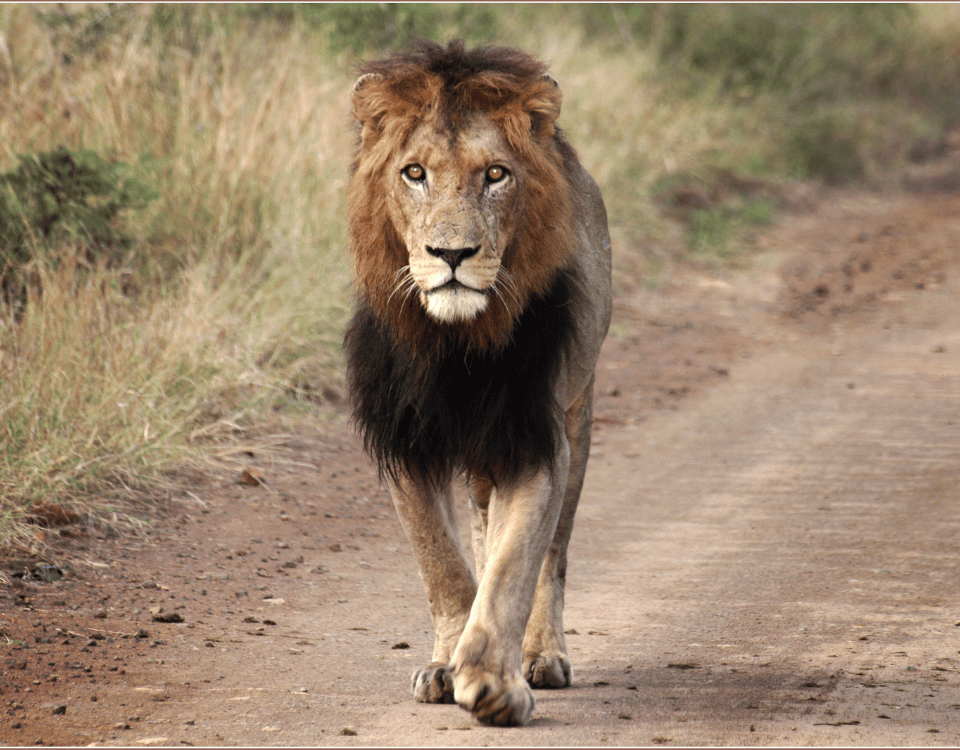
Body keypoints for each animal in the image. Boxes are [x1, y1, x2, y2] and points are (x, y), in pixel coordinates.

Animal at [343, 41, 612, 726]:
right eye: (414, 173)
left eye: (495, 175)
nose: (452, 255)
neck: (455, 344)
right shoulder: (409, 440)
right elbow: (443, 563)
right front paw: (446, 663)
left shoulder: (535, 436)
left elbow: (515, 565)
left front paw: (492, 680)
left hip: (579, 412)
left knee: (553, 553)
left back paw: (541, 655)